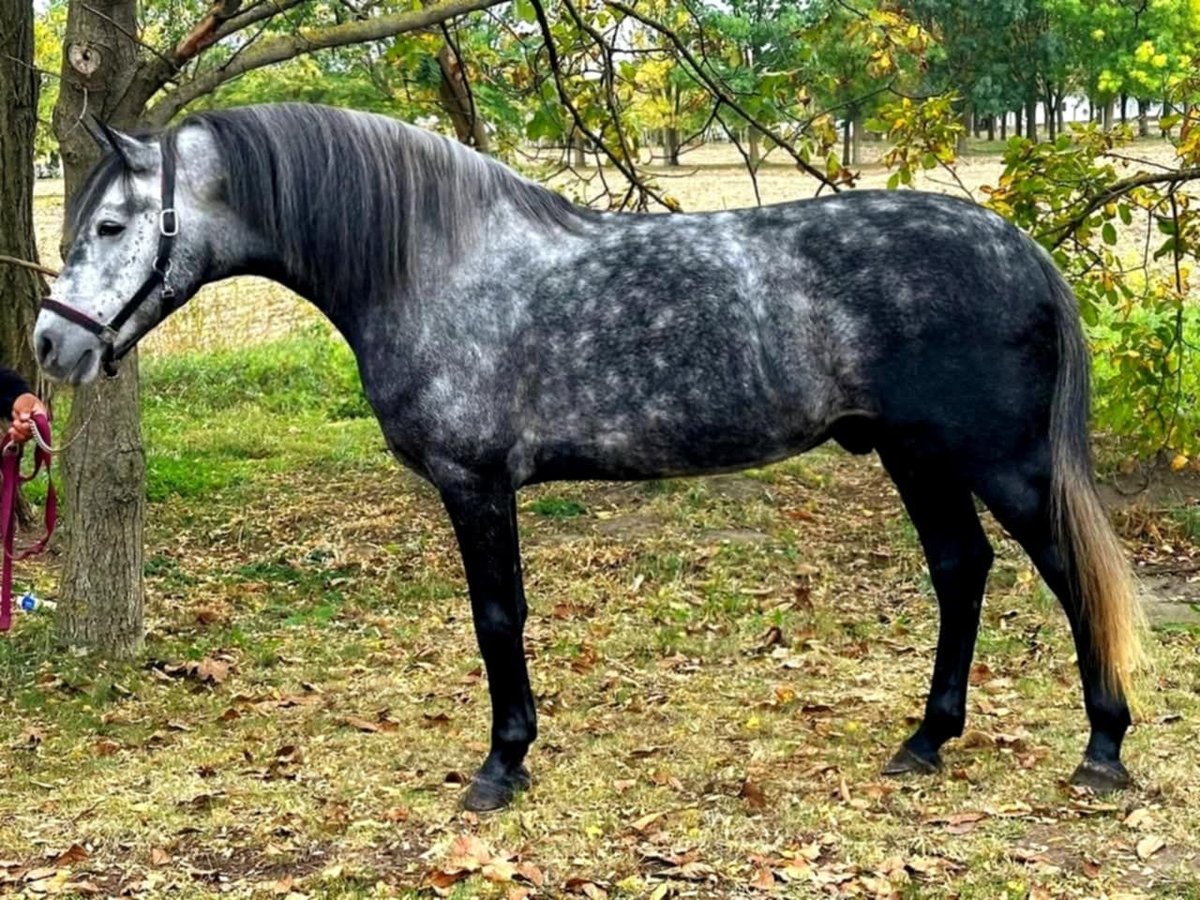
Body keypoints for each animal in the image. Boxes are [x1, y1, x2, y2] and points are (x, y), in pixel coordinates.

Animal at [34, 102, 1144, 811]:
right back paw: (925, 742)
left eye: (112, 223)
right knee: (962, 571)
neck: (437, 266)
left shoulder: (476, 486)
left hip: (1002, 464)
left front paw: (501, 766)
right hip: (914, 455)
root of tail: (1018, 245)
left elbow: (497, 621)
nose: (52, 344)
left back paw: (1102, 747)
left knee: (1068, 575)